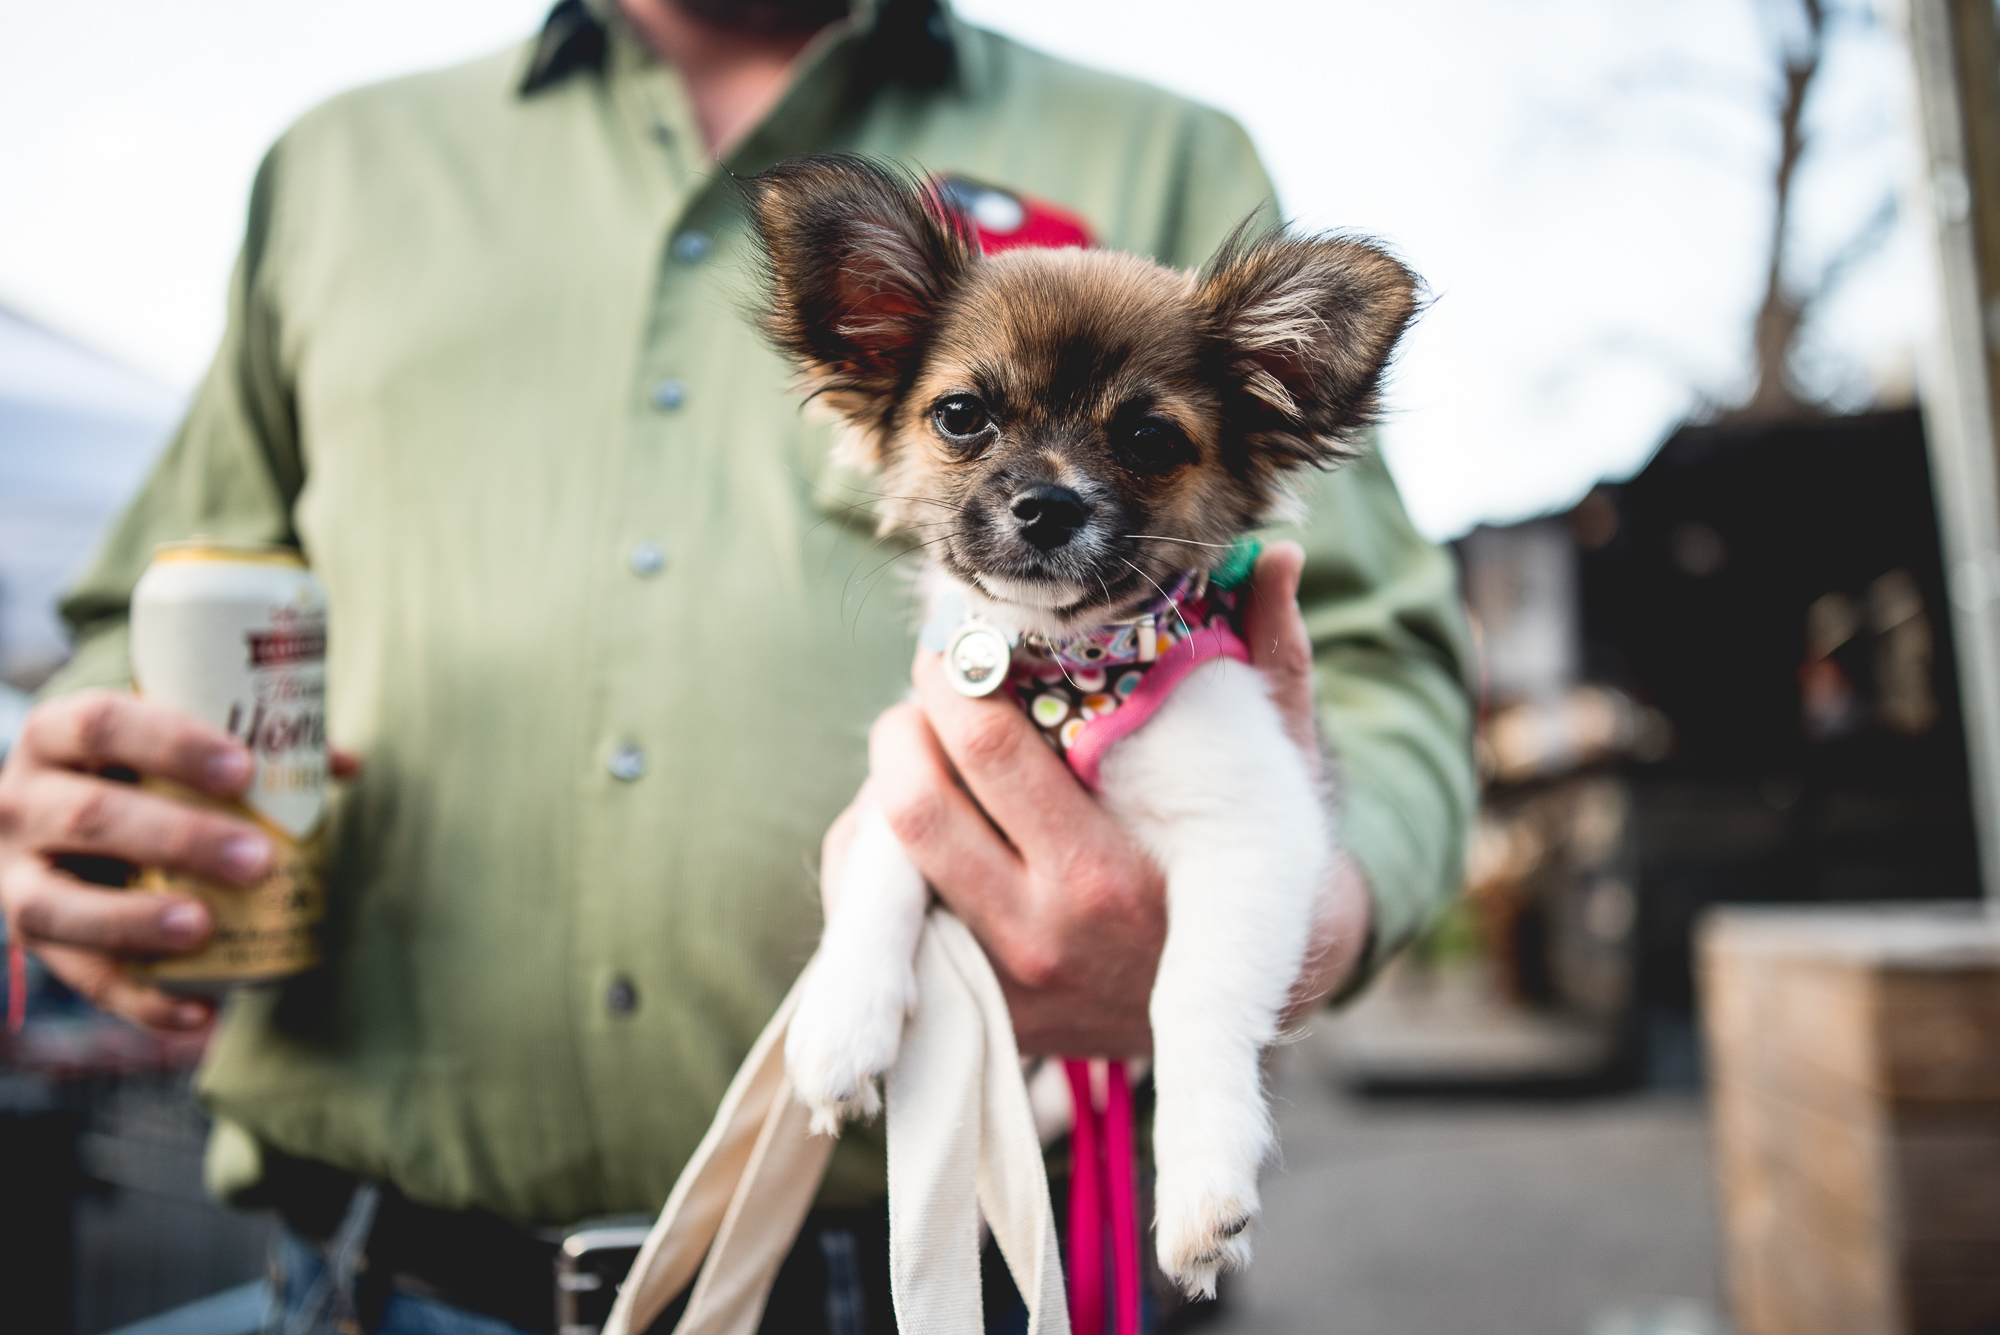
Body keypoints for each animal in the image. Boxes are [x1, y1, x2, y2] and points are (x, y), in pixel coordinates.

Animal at [748, 156, 1424, 1295]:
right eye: (962, 415)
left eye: (1150, 438)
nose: (1047, 505)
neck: (1065, 665)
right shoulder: (924, 758)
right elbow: (881, 860)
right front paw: (841, 1018)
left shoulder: (1252, 829)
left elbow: (1191, 997)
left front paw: (1201, 1186)